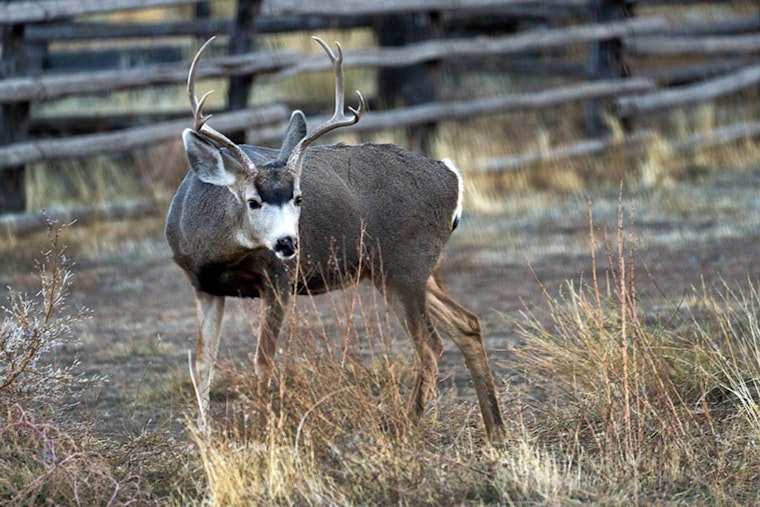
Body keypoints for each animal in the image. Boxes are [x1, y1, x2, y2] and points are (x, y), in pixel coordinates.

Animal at [165, 36, 505, 444]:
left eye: (299, 198)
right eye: (253, 200)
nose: (287, 243)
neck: (215, 249)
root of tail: (451, 174)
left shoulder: (278, 281)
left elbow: (263, 361)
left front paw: (266, 434)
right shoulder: (205, 286)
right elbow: (203, 363)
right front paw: (203, 438)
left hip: (404, 266)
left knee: (430, 344)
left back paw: (405, 428)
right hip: (410, 270)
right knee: (467, 323)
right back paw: (496, 431)